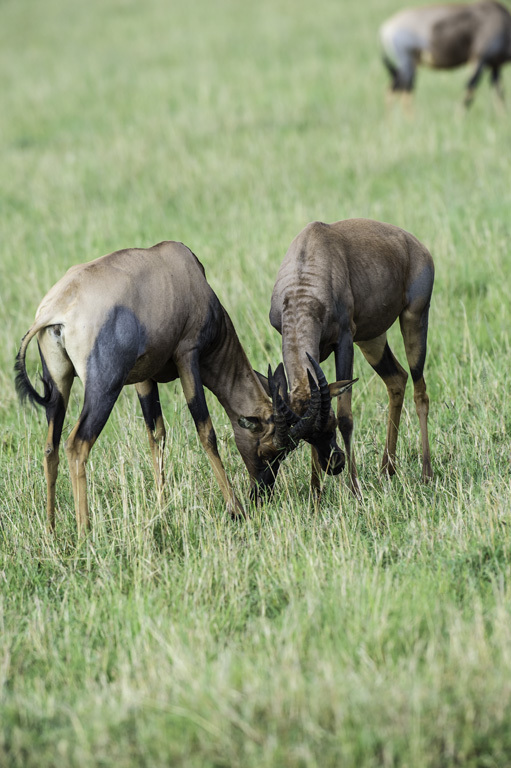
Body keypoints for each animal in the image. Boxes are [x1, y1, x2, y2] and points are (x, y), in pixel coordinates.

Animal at [15, 240, 324, 536]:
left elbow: (157, 436)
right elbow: (206, 432)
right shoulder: (188, 356)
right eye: (271, 450)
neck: (188, 272)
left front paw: (162, 508)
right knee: (77, 445)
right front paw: (235, 511)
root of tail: (54, 310)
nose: (261, 496)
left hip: (59, 384)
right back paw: (85, 532)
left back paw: (51, 530)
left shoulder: (144, 377)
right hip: (104, 388)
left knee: (51, 447)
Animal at [270, 219, 434, 498]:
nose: (335, 465)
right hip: (372, 339)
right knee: (397, 379)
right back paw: (387, 470)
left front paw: (355, 489)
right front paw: (315, 494)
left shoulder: (345, 341)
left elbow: (347, 415)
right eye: (306, 438)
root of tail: (417, 246)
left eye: (331, 423)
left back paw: (426, 474)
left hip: (414, 318)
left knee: (420, 390)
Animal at [380, 0, 511, 106]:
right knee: (403, 90)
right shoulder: (479, 59)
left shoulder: (495, 65)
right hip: (408, 64)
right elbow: (470, 88)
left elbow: (499, 93)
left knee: (395, 89)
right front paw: (458, 119)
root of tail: (386, 29)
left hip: (410, 65)